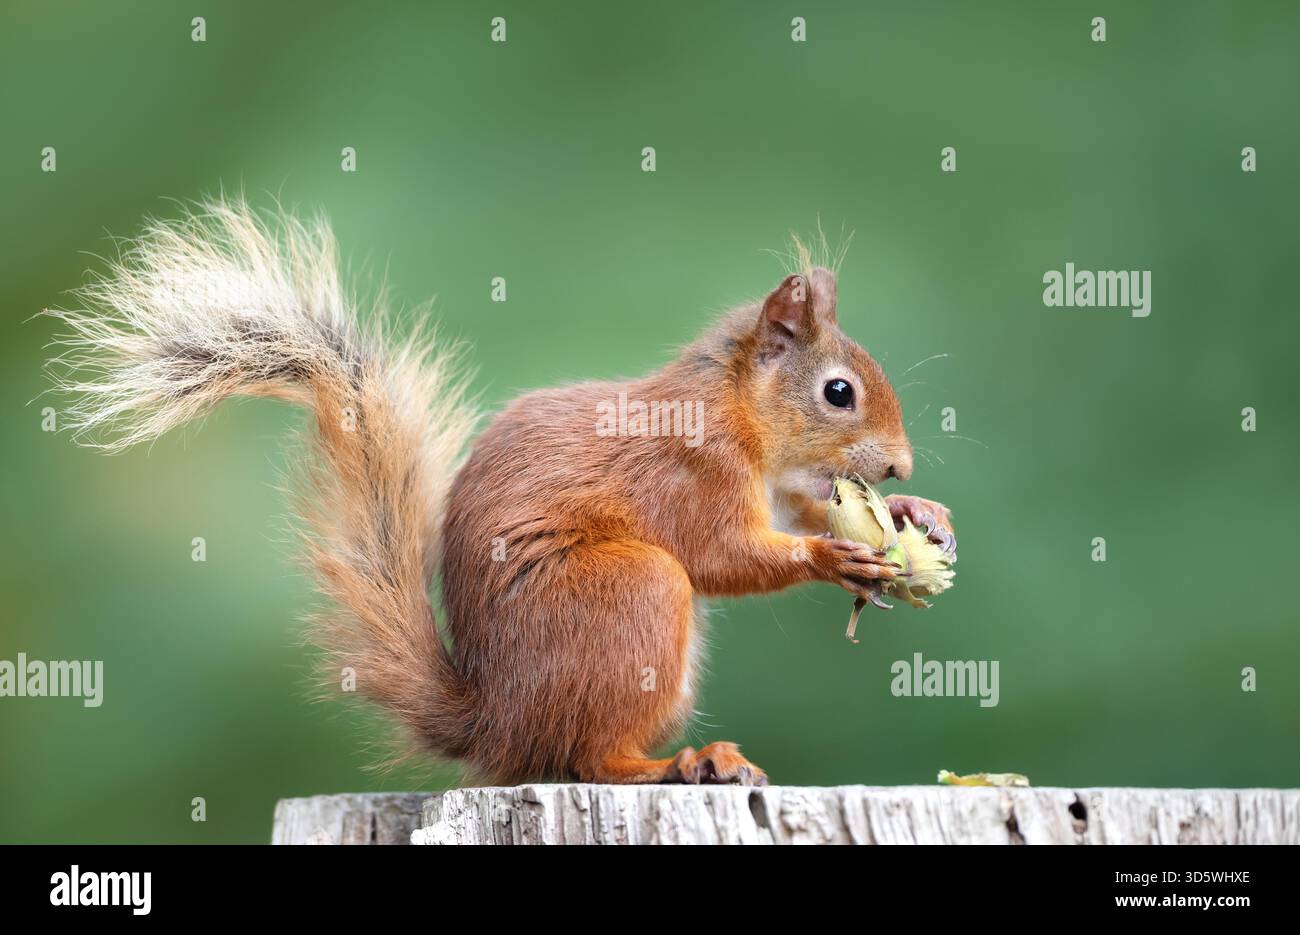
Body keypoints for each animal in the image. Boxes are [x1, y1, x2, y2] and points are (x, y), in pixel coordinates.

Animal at [45, 199, 955, 786]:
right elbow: (721, 554)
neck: (733, 407)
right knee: (587, 758)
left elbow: (794, 505)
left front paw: (918, 518)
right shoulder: (690, 469)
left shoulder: (775, 481)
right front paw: (835, 555)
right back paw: (682, 762)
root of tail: (496, 721)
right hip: (631, 594)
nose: (903, 468)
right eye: (838, 392)